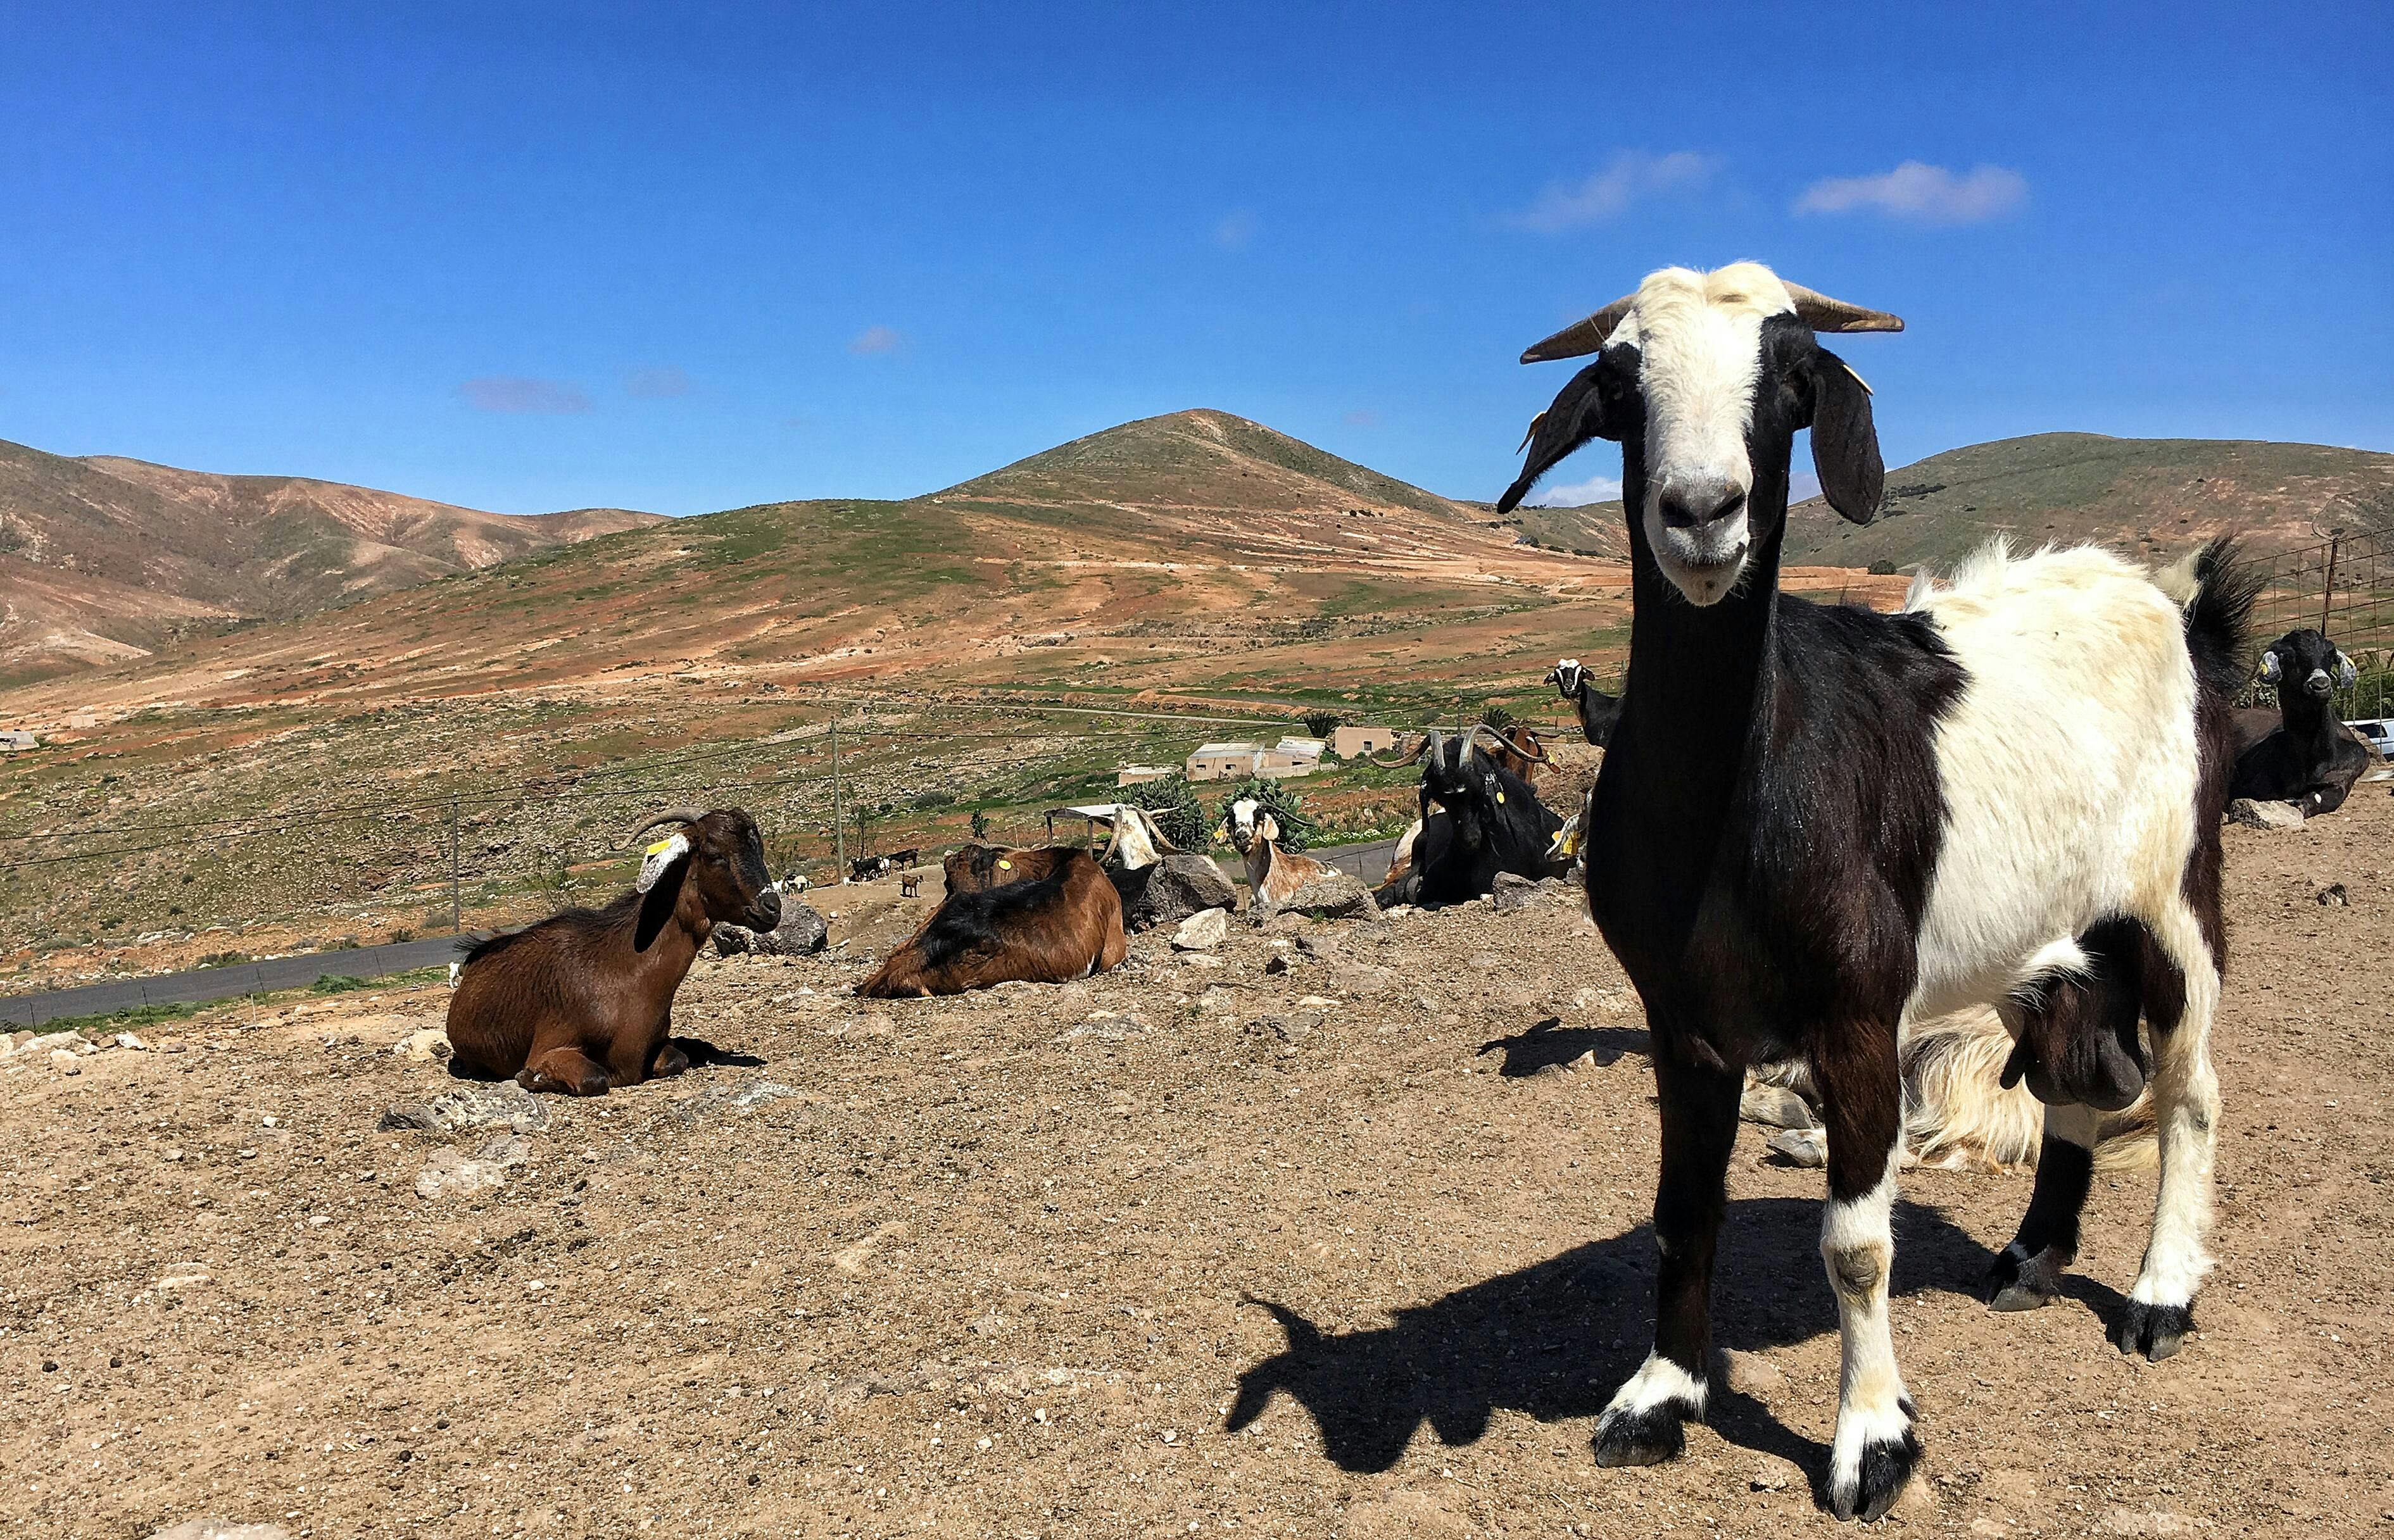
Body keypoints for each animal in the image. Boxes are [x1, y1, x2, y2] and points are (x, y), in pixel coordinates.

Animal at [445, 809, 780, 1096]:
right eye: (715, 855)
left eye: (760, 850)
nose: (772, 908)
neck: (623, 968)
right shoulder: (550, 1044)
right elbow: (594, 1077)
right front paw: (532, 1078)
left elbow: (676, 1060)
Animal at [1494, 262, 2260, 1513]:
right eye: (1619, 380)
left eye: (1792, 377)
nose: (1701, 512)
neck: (1739, 790)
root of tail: (2177, 607)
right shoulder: (1679, 1016)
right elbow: (1679, 1212)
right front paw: (1660, 1396)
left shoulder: (1858, 1012)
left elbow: (1856, 1247)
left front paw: (1872, 1439)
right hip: (2043, 938)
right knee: (2076, 1078)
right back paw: (2032, 1258)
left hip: (2173, 893)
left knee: (2189, 1087)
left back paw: (2157, 1294)